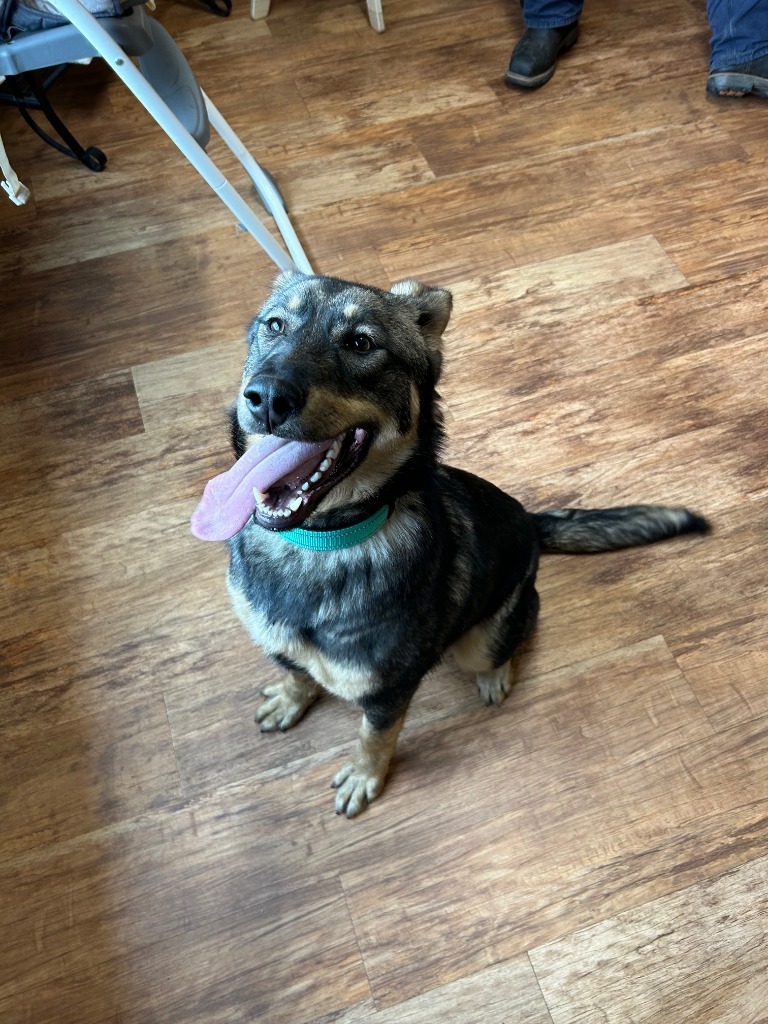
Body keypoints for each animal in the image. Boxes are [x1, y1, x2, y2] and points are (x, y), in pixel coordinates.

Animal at [191, 270, 708, 815]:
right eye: (274, 325)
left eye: (361, 343)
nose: (267, 397)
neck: (319, 541)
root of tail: (529, 521)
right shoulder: (282, 645)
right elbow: (297, 673)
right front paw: (293, 698)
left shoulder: (388, 692)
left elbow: (374, 736)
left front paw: (364, 775)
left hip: (482, 638)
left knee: (515, 633)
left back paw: (496, 673)